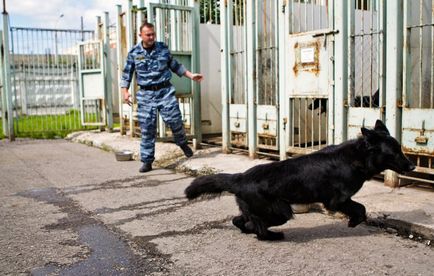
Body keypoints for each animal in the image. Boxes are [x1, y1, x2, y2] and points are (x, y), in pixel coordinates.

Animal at [185, 119, 416, 240]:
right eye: (395, 152)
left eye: (400, 149)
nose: (413, 166)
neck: (356, 158)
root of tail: (240, 178)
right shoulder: (338, 200)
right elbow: (361, 208)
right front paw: (354, 221)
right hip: (280, 211)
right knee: (258, 228)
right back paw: (272, 236)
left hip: (260, 210)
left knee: (240, 220)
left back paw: (249, 230)